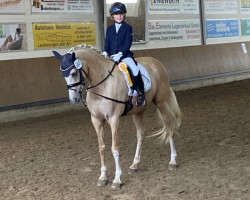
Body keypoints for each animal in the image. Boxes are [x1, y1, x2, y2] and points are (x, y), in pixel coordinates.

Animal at [52, 44, 182, 190]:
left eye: (74, 73)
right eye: (63, 75)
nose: (74, 99)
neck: (101, 85)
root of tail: (156, 62)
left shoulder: (114, 119)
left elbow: (114, 149)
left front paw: (117, 180)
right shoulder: (96, 120)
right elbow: (101, 148)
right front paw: (102, 177)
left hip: (162, 102)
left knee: (169, 126)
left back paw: (172, 161)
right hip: (138, 111)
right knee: (141, 134)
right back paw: (135, 164)